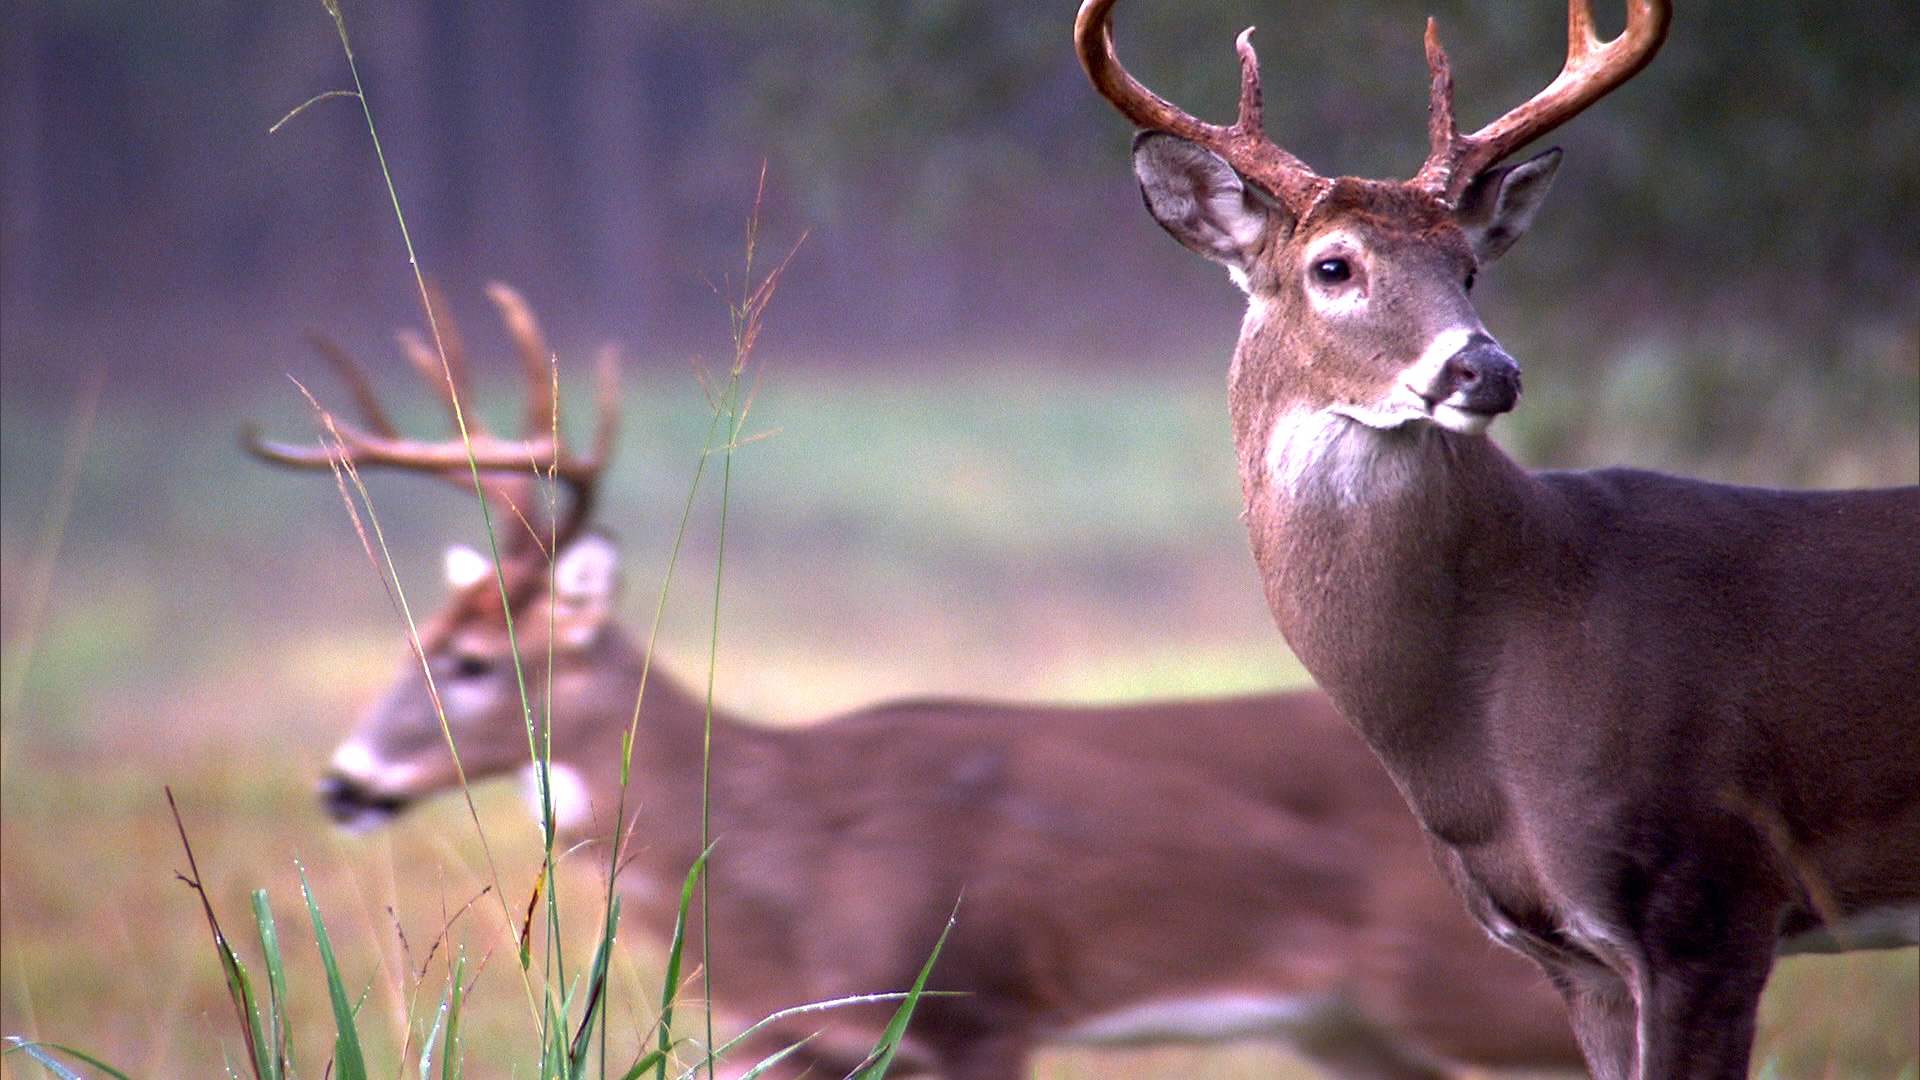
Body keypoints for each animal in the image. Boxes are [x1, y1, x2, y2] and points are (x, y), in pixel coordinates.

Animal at [247, 284, 1582, 1076]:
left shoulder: (975, 1002)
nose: (341, 782)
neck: (769, 856)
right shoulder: (789, 1040)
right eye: (408, 644)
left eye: (472, 663)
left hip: (1471, 987)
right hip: (1354, 1027)